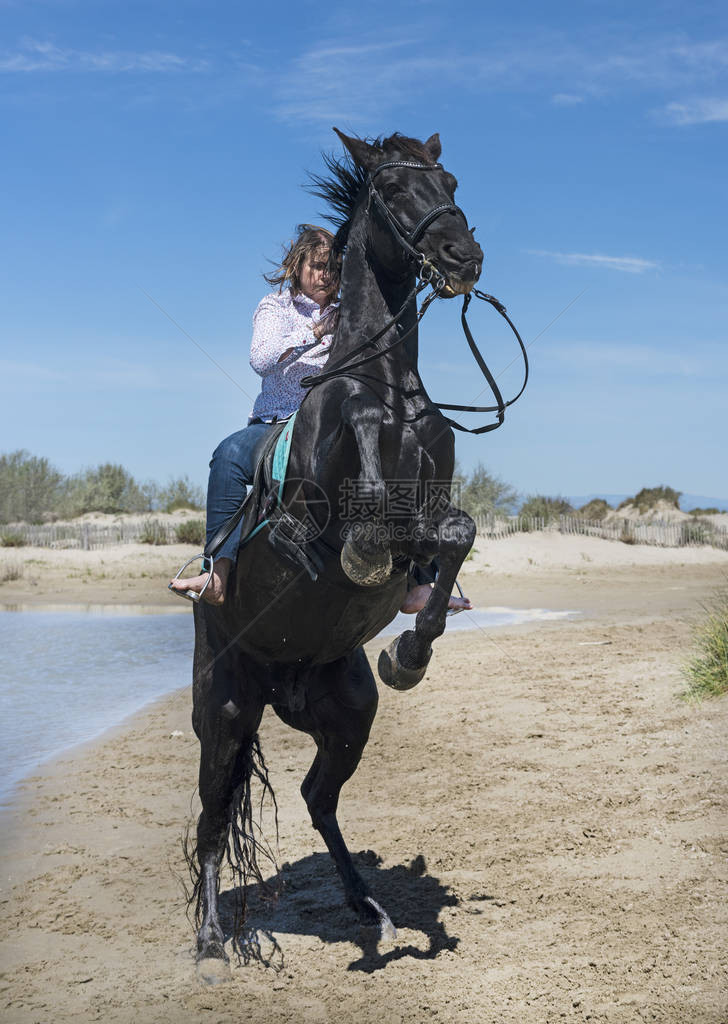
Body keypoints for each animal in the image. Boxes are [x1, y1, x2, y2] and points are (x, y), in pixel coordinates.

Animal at [189, 132, 483, 970]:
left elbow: (455, 533)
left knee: (317, 798)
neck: (384, 383)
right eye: (392, 187)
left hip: (346, 712)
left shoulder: (433, 513)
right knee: (213, 812)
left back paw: (371, 912)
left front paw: (410, 654)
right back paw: (213, 942)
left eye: (450, 182)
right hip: (224, 709)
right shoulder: (326, 523)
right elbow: (373, 519)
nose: (463, 254)